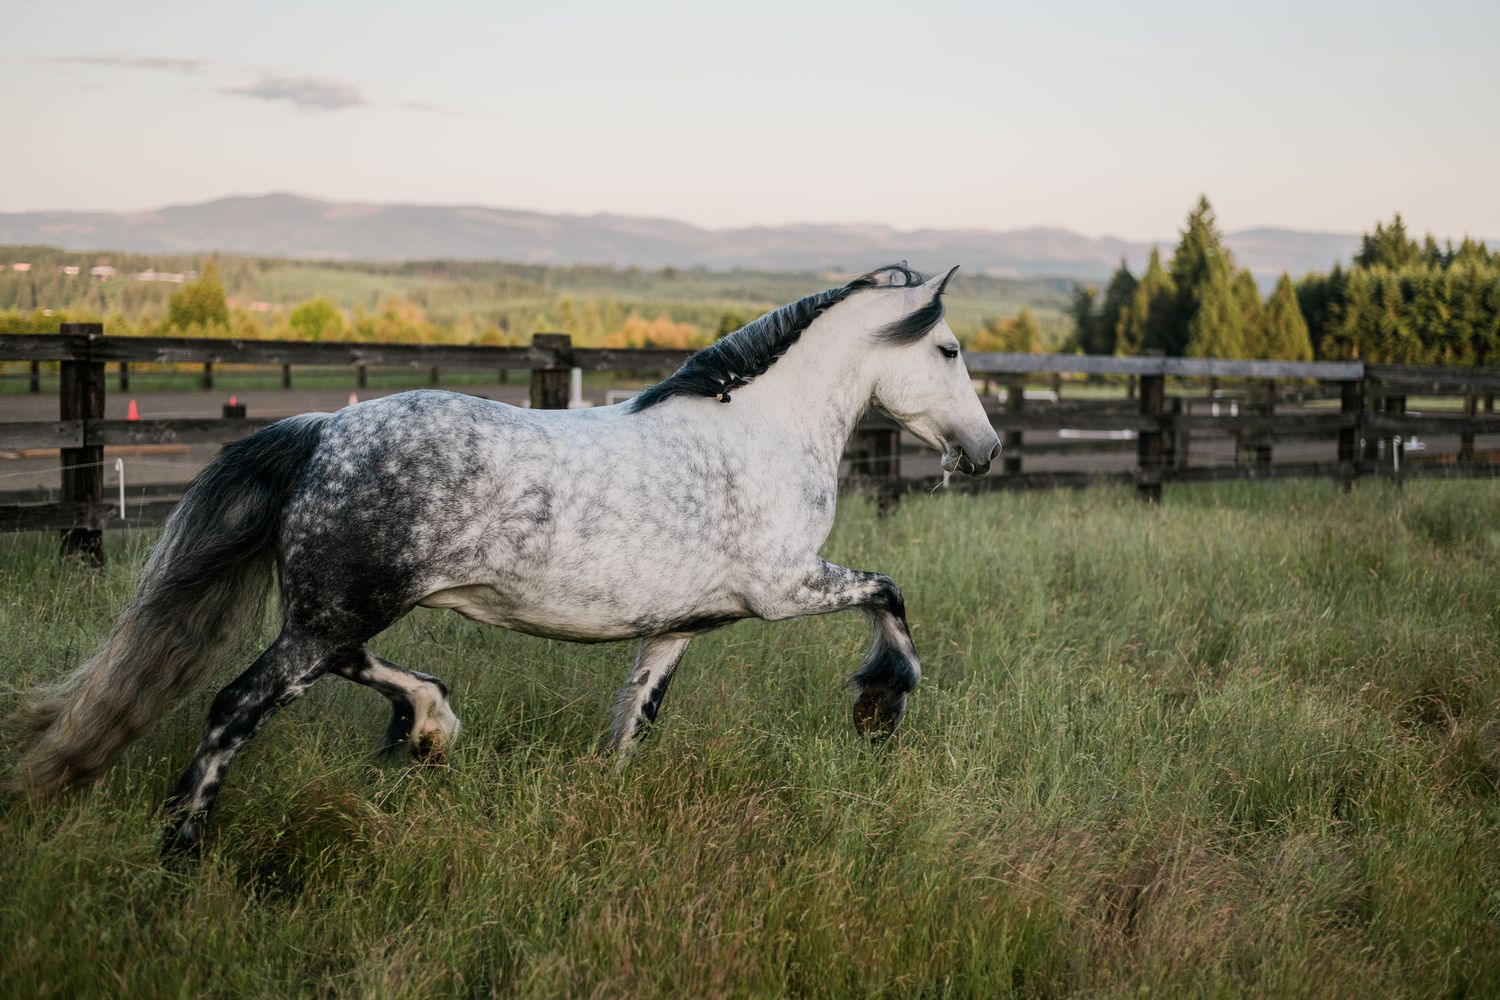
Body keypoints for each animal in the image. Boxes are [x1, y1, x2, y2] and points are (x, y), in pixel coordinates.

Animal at [6, 263, 1001, 854]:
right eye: (950, 350)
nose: (985, 451)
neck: (763, 430)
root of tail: (323, 428)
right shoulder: (785, 587)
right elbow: (891, 597)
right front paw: (879, 707)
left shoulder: (684, 623)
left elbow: (637, 715)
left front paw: (610, 800)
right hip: (335, 613)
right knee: (236, 705)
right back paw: (182, 849)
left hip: (339, 609)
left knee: (355, 666)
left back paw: (430, 726)